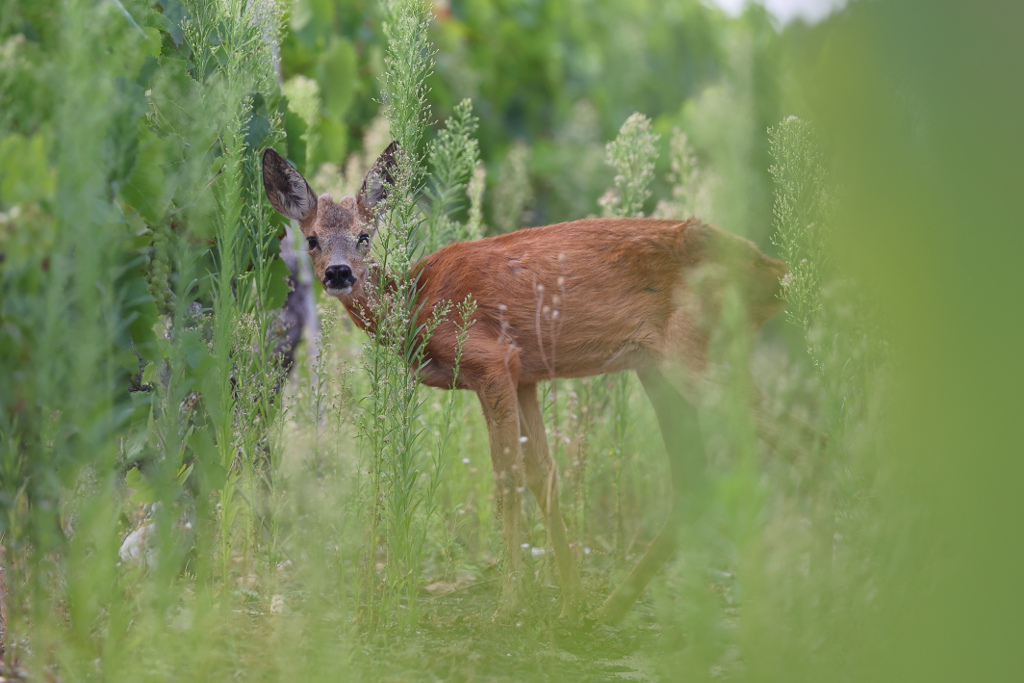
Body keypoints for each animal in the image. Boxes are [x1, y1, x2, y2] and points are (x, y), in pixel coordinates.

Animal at [262, 142, 789, 624]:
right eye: (312, 239)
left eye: (365, 236)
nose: (338, 273)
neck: (417, 302)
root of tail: (776, 274)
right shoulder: (525, 375)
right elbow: (544, 475)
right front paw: (570, 600)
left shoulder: (489, 360)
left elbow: (507, 476)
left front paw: (510, 604)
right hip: (658, 365)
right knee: (696, 477)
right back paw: (611, 609)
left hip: (697, 353)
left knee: (795, 432)